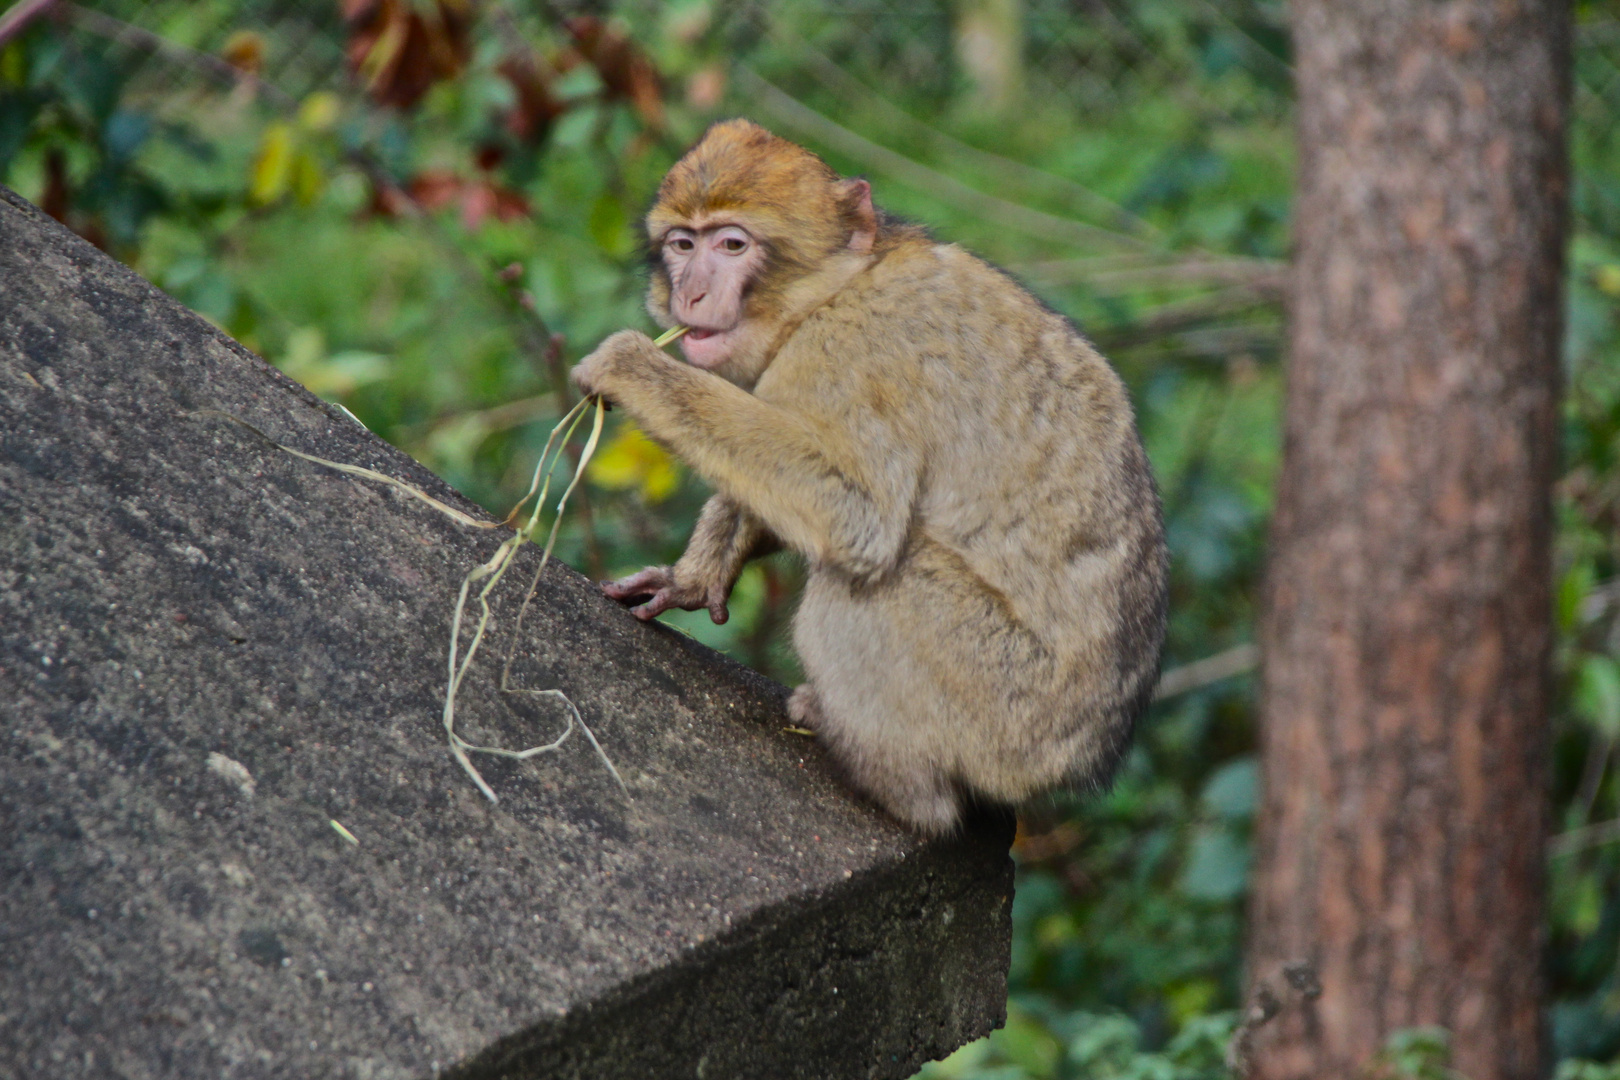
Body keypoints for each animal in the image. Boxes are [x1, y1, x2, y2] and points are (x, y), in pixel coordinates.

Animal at [576, 122, 1172, 841]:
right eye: (682, 244)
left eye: (732, 244)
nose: (688, 292)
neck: (839, 287)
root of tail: (1088, 758)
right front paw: (703, 567)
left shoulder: (851, 353)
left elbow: (856, 517)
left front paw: (634, 368)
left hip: (1004, 708)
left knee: (873, 583)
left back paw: (891, 782)